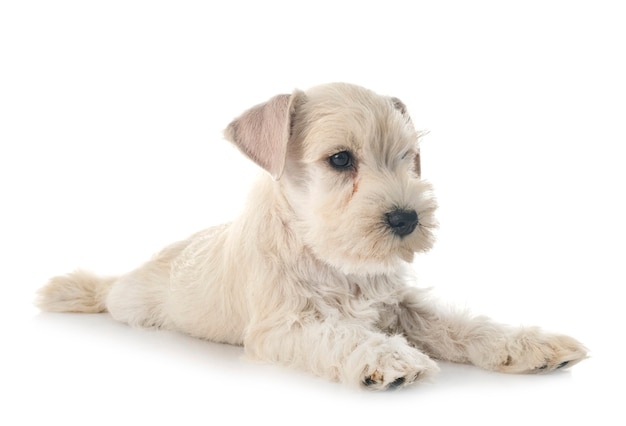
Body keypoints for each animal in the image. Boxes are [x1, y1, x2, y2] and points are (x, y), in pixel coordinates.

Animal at [37, 82, 584, 390]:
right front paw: (386, 356)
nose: (407, 218)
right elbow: (340, 332)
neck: (330, 255)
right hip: (131, 302)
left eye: (406, 157)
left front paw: (527, 344)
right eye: (340, 159)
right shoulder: (284, 325)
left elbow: (462, 324)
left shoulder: (401, 305)